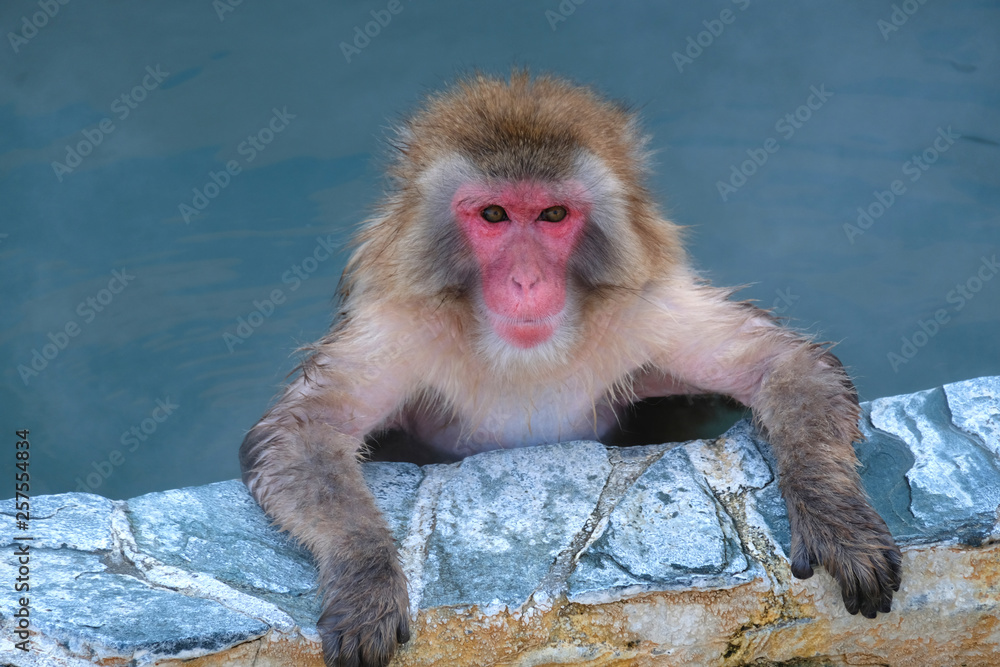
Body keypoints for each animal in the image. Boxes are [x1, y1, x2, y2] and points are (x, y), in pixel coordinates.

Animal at [240, 71, 901, 667]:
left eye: (553, 215)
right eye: (495, 215)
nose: (526, 281)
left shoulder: (648, 312)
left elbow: (782, 362)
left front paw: (838, 519)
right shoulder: (398, 327)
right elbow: (304, 430)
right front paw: (366, 576)